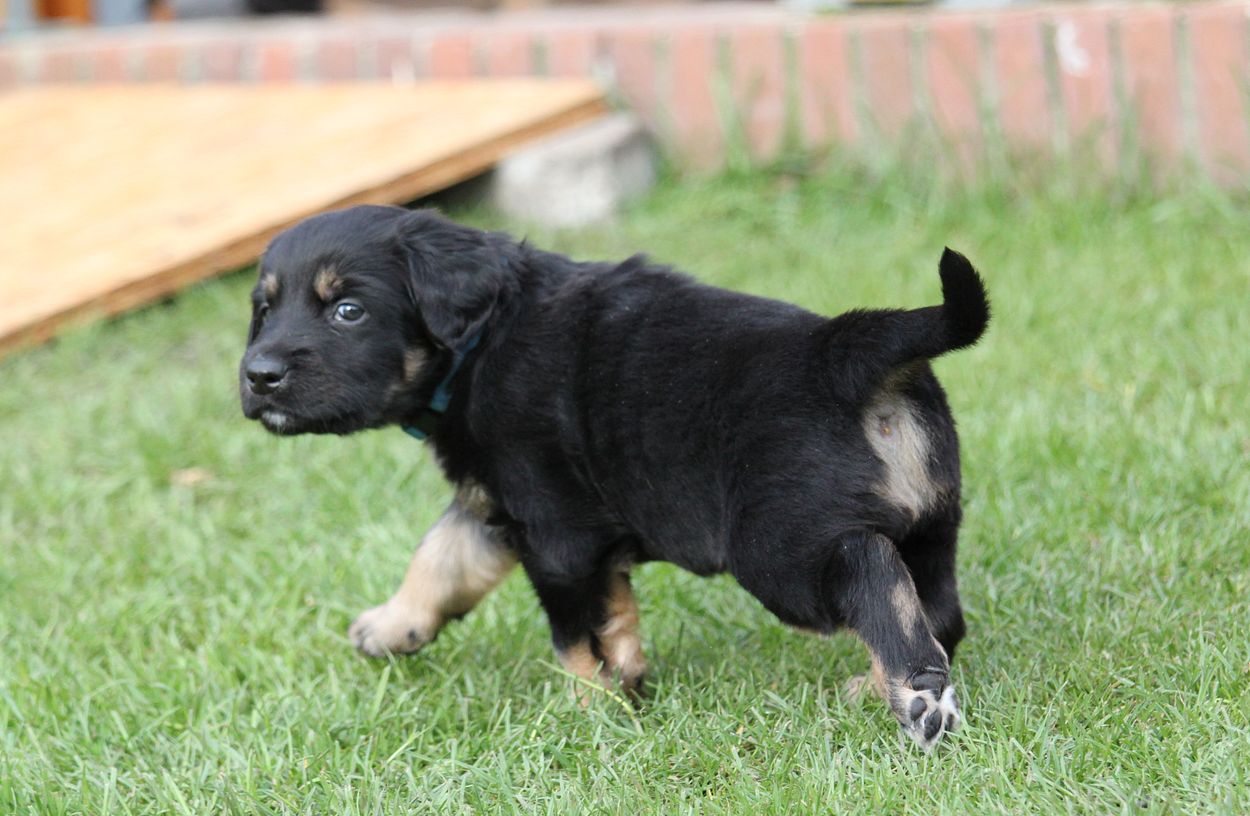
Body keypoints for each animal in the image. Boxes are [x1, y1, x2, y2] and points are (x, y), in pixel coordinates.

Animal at [239, 205, 989, 749]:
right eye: (263, 309)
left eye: (347, 310)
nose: (257, 376)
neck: (482, 342)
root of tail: (841, 351)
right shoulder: (498, 504)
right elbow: (443, 556)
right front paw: (391, 627)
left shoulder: (553, 531)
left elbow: (573, 632)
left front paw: (588, 706)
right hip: (933, 517)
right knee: (938, 608)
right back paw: (879, 687)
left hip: (781, 548)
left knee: (871, 573)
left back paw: (915, 695)